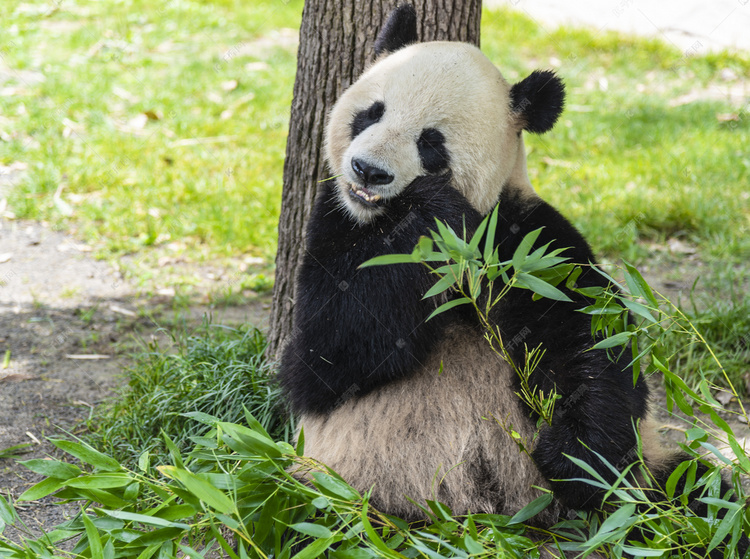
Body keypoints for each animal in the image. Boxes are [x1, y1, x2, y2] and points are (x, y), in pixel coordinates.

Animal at [280, 3, 748, 548]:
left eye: (431, 142)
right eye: (371, 113)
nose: (367, 171)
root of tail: (494, 524)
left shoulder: (528, 243)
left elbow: (591, 341)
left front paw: (576, 459)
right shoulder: (333, 223)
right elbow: (321, 358)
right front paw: (428, 219)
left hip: (649, 481)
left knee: (698, 496)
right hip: (341, 490)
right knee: (303, 520)